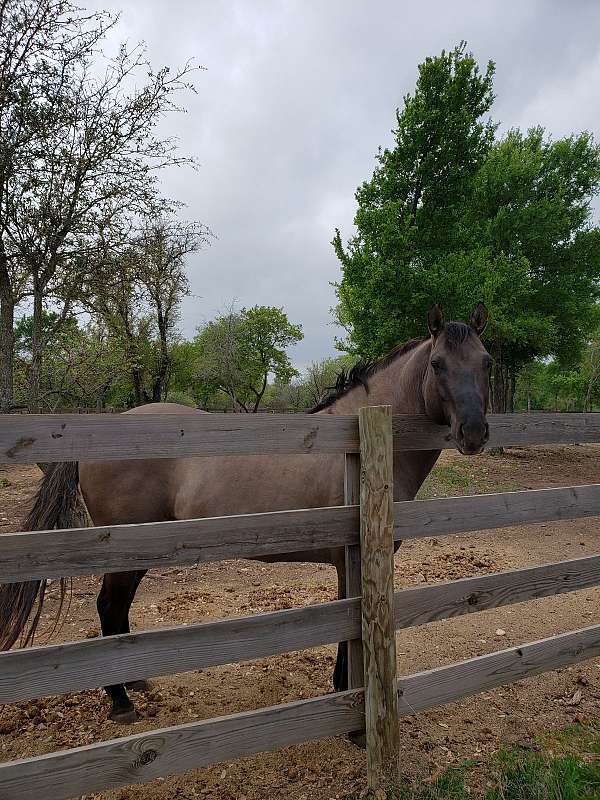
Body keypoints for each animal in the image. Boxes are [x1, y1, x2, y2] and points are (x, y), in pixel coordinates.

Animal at [0, 302, 490, 724]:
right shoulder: (353, 561)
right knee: (108, 606)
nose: (474, 432)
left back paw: (134, 682)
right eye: (437, 364)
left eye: (485, 361)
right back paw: (120, 701)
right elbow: (348, 625)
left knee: (118, 610)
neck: (356, 442)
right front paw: (345, 693)